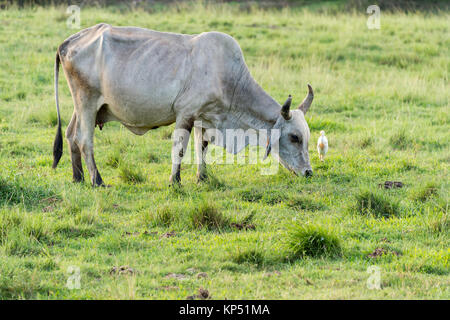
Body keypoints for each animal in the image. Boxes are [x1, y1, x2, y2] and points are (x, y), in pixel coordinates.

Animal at [51, 23, 312, 186]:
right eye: (294, 137)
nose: (309, 172)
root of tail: (68, 42)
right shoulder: (185, 115)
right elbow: (180, 148)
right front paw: (175, 181)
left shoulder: (203, 118)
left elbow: (201, 147)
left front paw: (202, 178)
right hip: (86, 101)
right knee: (84, 140)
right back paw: (97, 181)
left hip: (86, 106)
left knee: (71, 135)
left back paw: (78, 178)